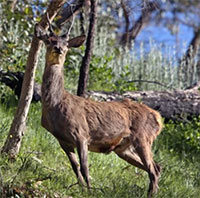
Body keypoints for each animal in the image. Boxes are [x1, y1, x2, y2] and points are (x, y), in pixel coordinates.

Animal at [34, 17, 162, 197]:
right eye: (49, 40)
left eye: (66, 44)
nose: (59, 48)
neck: (56, 105)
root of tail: (158, 118)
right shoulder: (62, 140)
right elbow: (75, 167)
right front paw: (81, 188)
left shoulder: (81, 133)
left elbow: (85, 167)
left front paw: (89, 191)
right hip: (123, 148)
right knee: (156, 167)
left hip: (143, 136)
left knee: (153, 169)